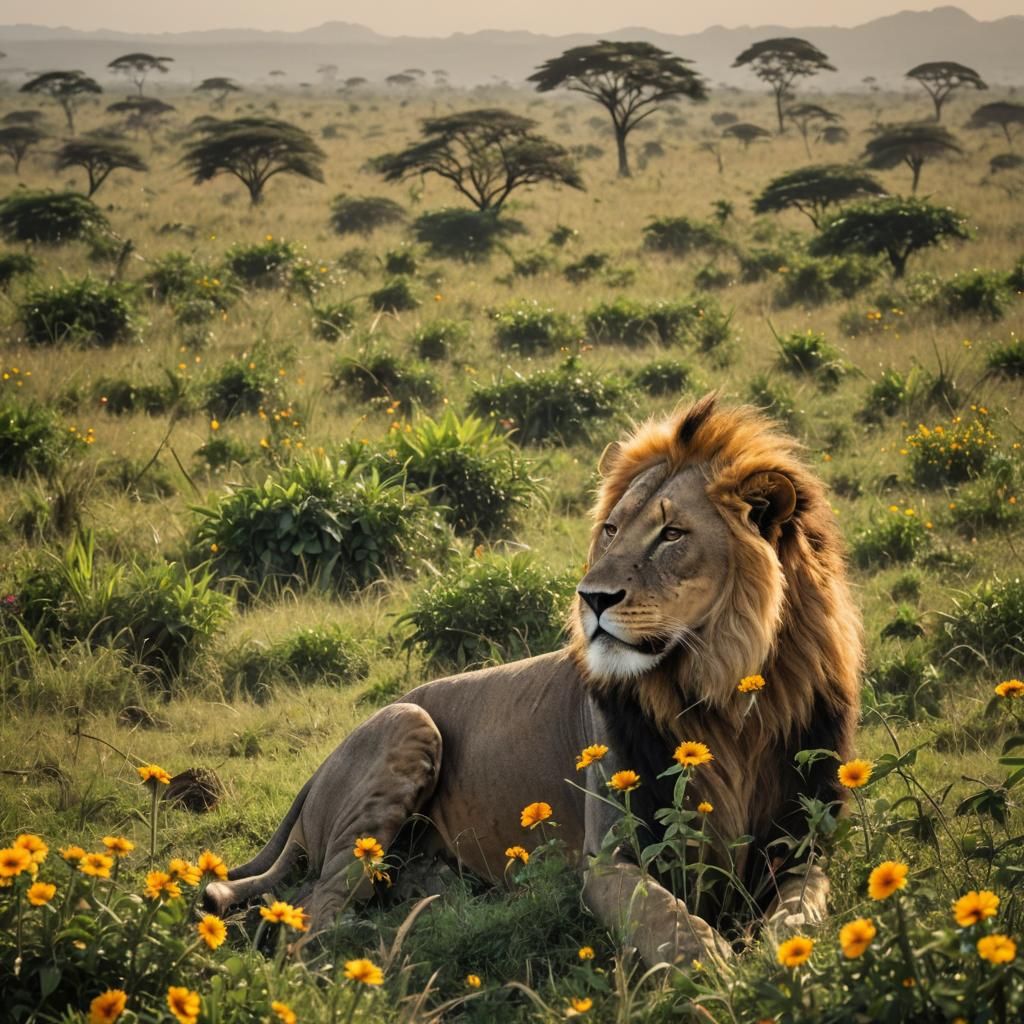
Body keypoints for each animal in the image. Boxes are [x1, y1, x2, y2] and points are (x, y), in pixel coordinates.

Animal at [205, 394, 862, 966]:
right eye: (611, 530)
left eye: (672, 535)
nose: (590, 598)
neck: (726, 700)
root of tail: (315, 772)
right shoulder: (608, 859)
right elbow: (674, 925)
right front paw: (722, 974)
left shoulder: (803, 847)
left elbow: (801, 914)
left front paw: (781, 962)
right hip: (407, 724)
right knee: (308, 915)